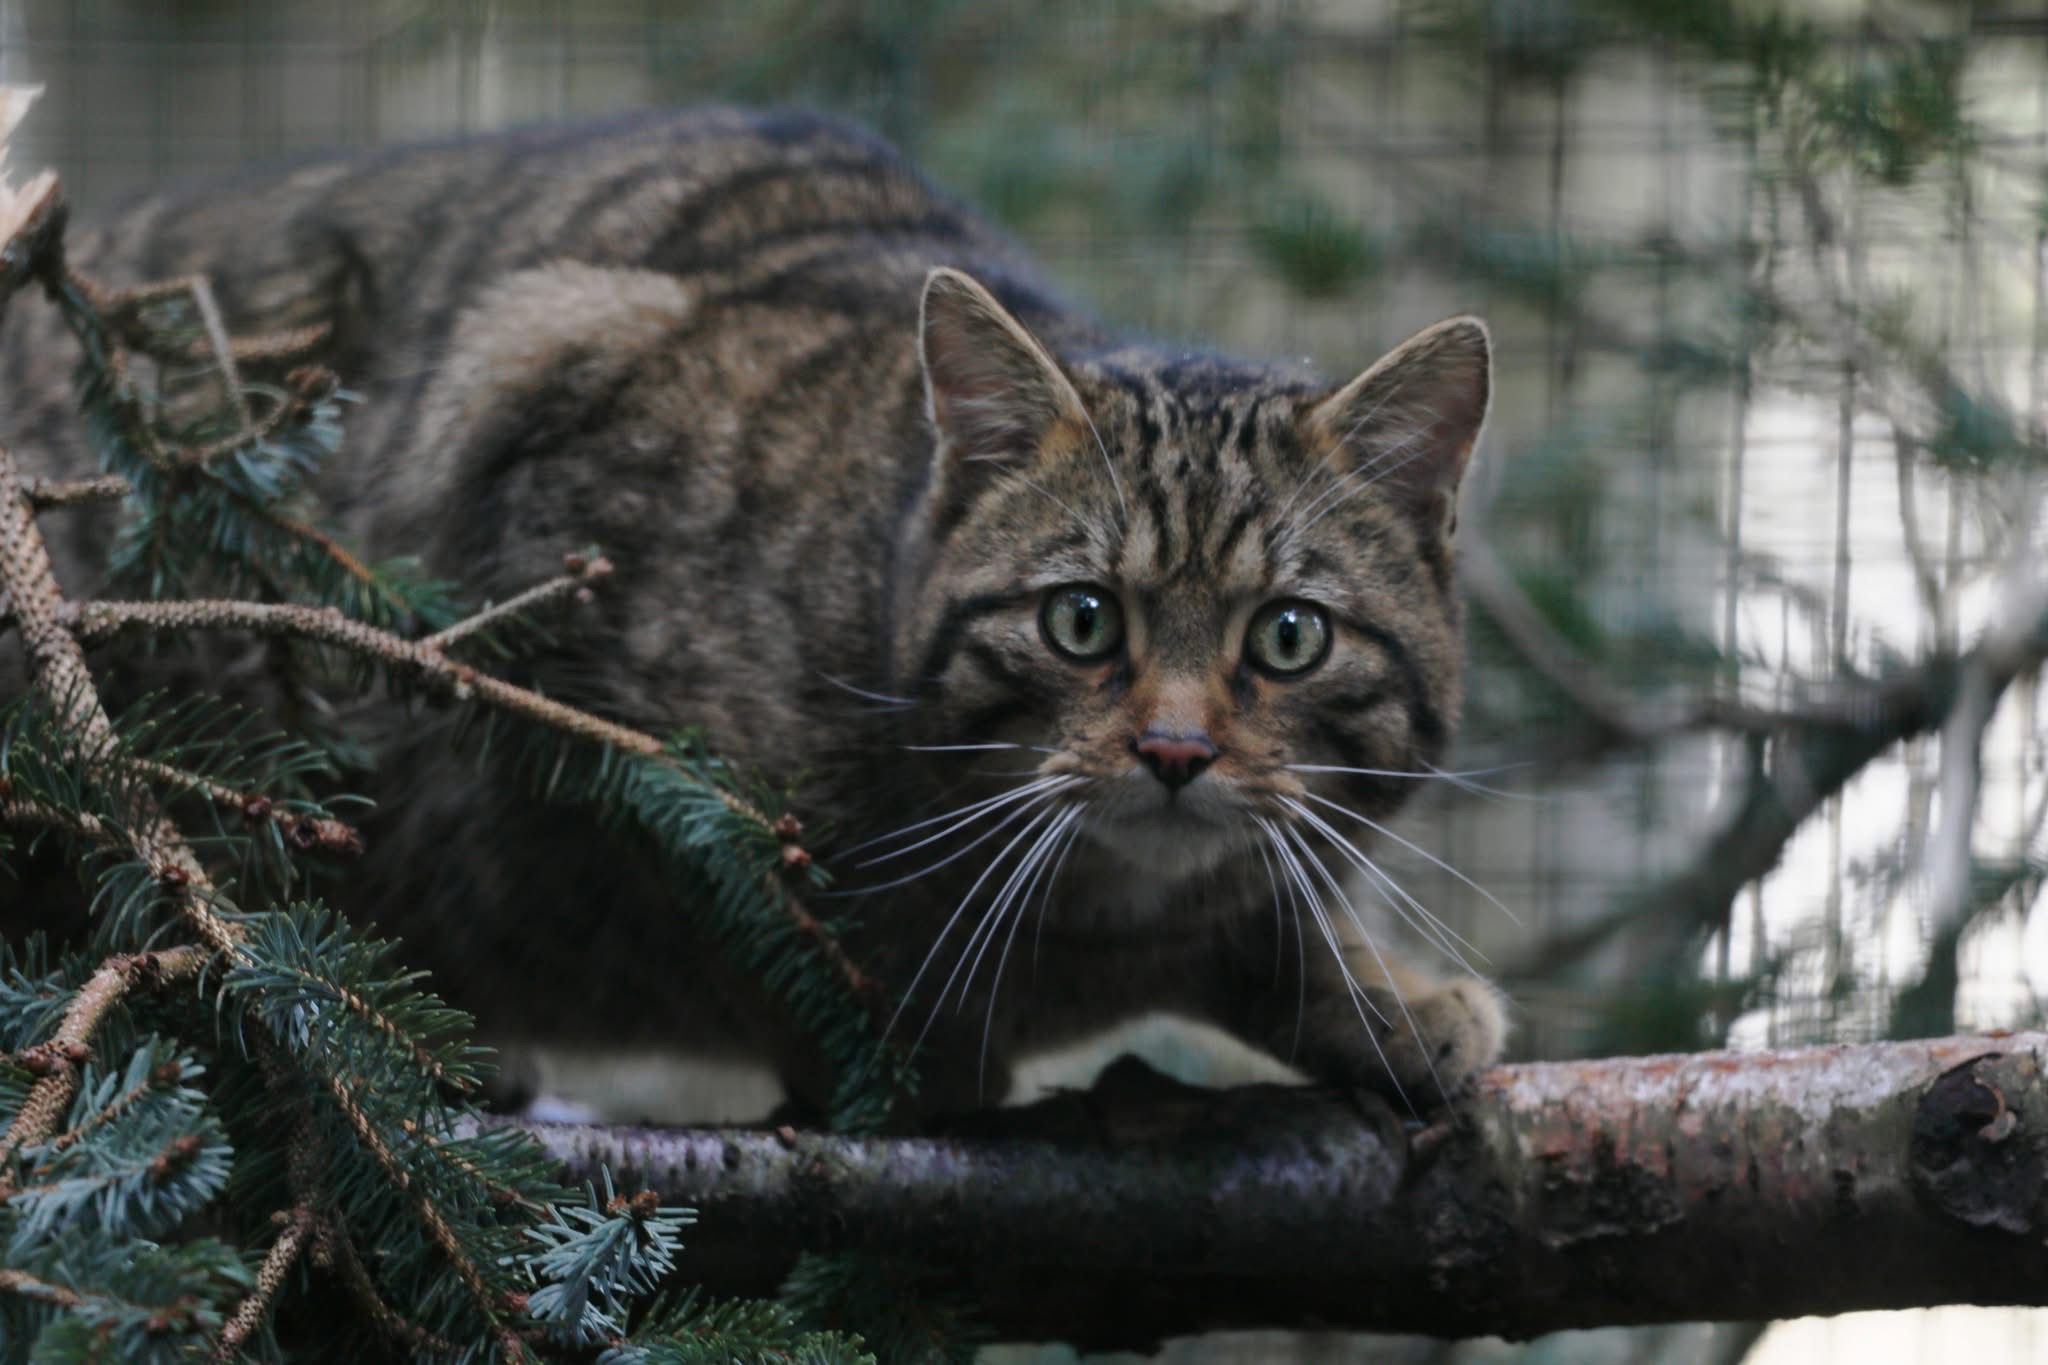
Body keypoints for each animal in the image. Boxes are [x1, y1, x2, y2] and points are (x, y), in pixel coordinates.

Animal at [8, 112, 1515, 1121]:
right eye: (1083, 622)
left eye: (1288, 636)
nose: (1177, 751)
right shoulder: (535, 442)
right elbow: (733, 895)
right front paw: (903, 1045)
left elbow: (1264, 909)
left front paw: (1378, 999)